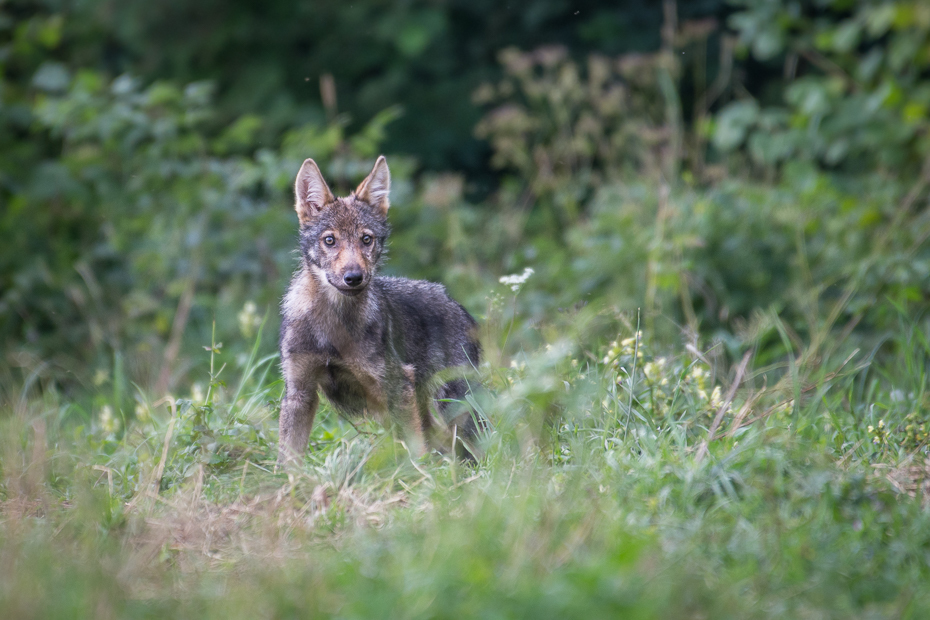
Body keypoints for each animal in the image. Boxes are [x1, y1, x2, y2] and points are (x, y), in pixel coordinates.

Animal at [276, 157, 478, 462]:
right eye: (330, 240)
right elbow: (287, 461)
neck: (333, 325)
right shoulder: (299, 393)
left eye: (366, 239)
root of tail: (458, 305)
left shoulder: (398, 386)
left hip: (453, 406)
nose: (354, 277)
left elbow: (416, 453)